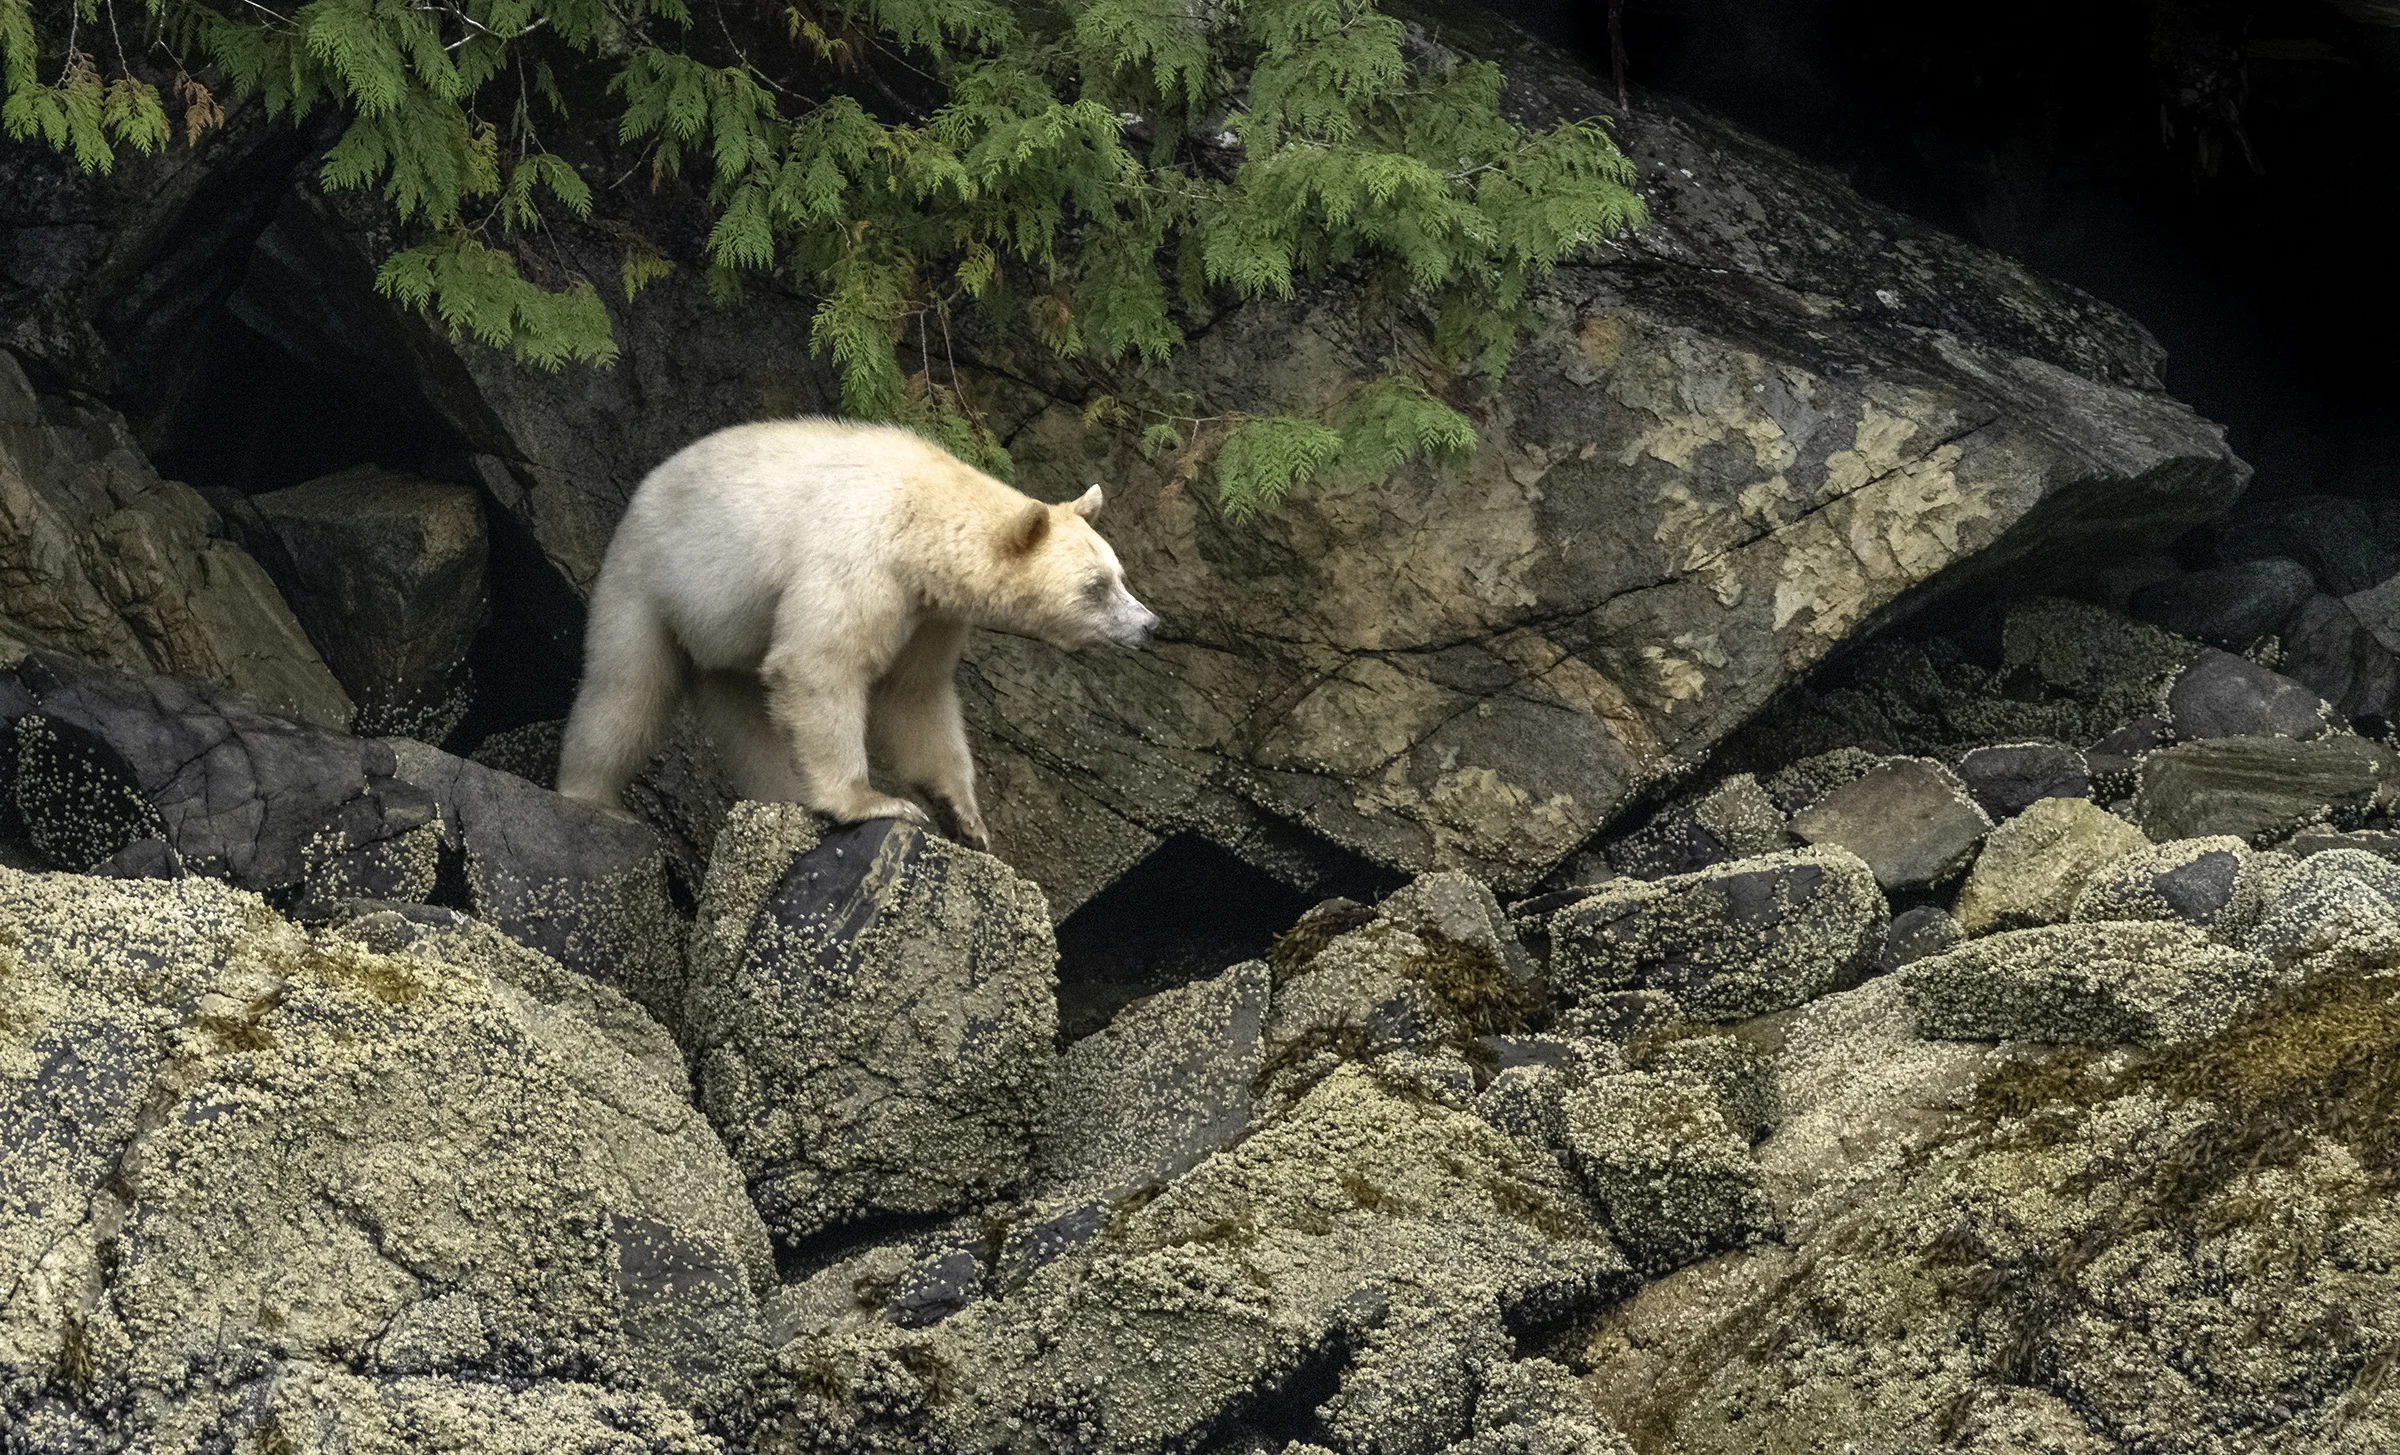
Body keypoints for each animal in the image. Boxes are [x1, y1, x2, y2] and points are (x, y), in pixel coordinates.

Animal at [555, 418, 1160, 851]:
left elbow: (915, 694)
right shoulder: (860, 554)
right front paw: (874, 802)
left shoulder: (930, 613)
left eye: (1121, 575)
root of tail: (648, 485)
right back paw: (591, 795)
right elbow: (821, 663)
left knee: (749, 721)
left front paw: (965, 818)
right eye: (1096, 586)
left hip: (729, 645)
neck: (923, 511)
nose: (1150, 625)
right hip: (650, 578)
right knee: (628, 689)